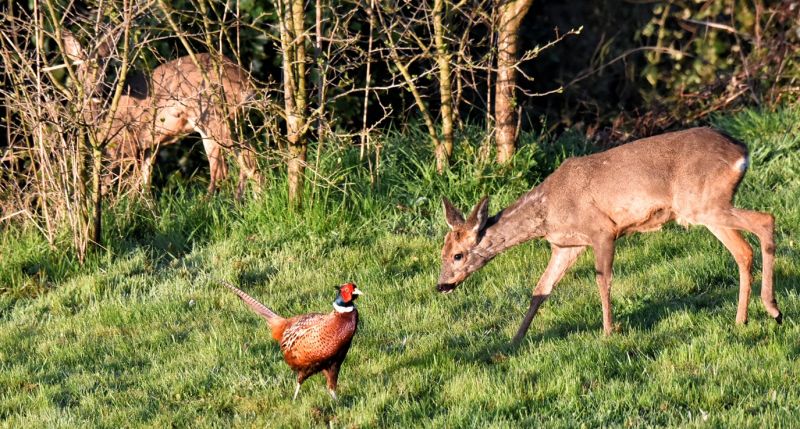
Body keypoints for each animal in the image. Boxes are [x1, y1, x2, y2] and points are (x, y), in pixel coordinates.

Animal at [63, 30, 262, 199]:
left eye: (105, 72)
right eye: (82, 72)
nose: (97, 92)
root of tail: (246, 80)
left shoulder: (126, 144)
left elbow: (110, 185)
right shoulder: (147, 146)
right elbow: (144, 184)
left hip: (210, 116)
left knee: (224, 168)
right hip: (231, 119)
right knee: (245, 158)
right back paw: (248, 199)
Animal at [438, 125, 780, 342]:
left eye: (458, 255)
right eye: (441, 253)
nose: (442, 285)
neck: (547, 211)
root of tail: (741, 152)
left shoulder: (602, 230)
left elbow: (603, 280)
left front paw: (608, 331)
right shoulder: (566, 245)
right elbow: (540, 289)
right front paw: (515, 340)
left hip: (703, 203)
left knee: (765, 220)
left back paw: (772, 308)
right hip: (707, 206)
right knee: (744, 251)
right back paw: (743, 319)